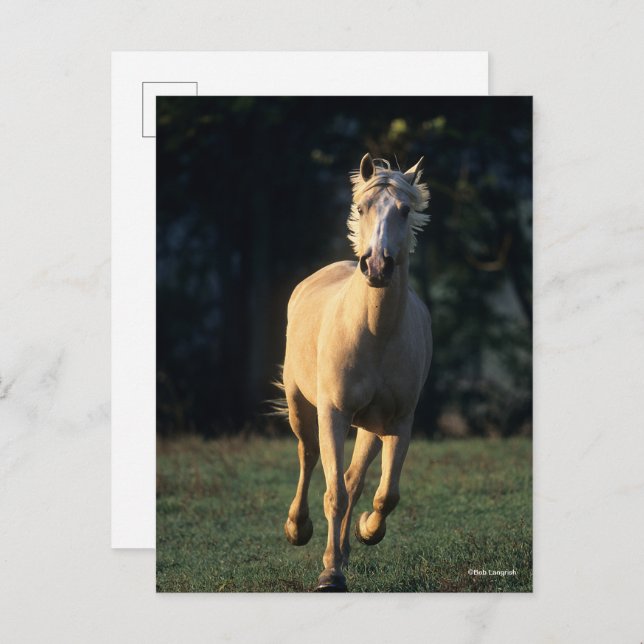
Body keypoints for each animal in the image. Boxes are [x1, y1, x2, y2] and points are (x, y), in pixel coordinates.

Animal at [277, 153, 432, 592]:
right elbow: (333, 494)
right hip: (301, 406)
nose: (377, 266)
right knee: (308, 455)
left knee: (354, 478)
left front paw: (366, 531)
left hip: (369, 426)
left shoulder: (398, 422)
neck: (374, 332)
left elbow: (384, 494)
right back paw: (298, 529)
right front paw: (329, 574)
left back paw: (347, 546)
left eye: (405, 210)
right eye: (362, 208)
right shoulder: (334, 413)